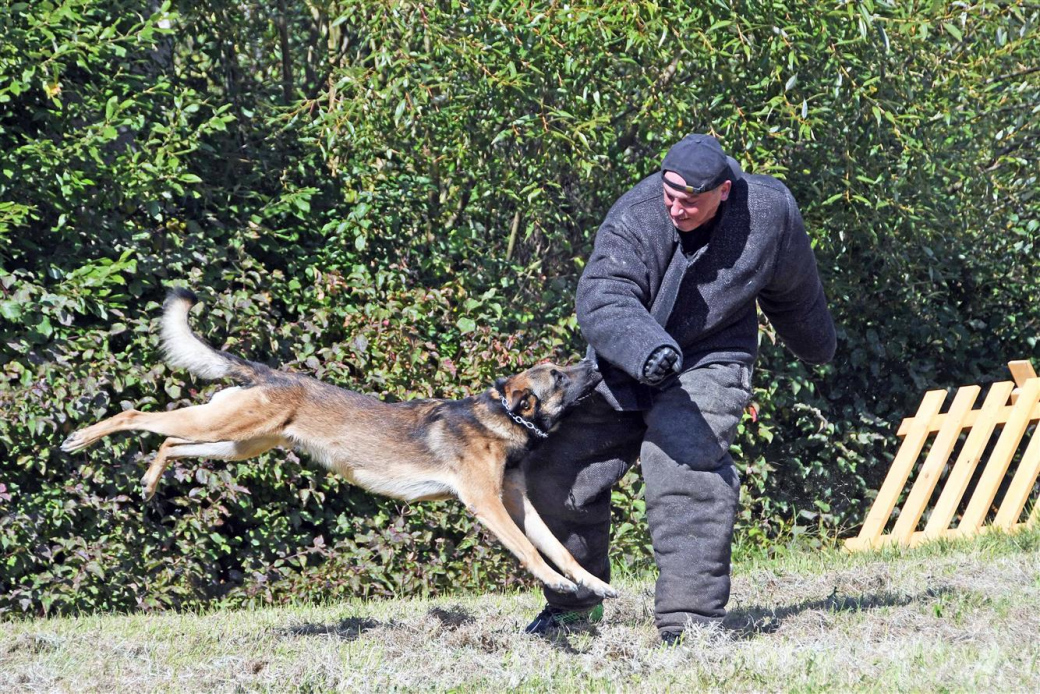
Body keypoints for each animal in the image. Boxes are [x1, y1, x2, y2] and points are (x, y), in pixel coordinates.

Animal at [62, 287, 615, 599]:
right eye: (559, 375)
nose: (597, 367)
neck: (502, 415)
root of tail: (265, 373)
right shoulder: (487, 505)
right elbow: (530, 552)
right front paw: (555, 583)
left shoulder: (517, 505)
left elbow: (560, 550)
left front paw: (593, 585)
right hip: (223, 428)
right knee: (138, 415)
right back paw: (80, 439)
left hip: (235, 443)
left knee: (170, 442)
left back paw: (150, 482)